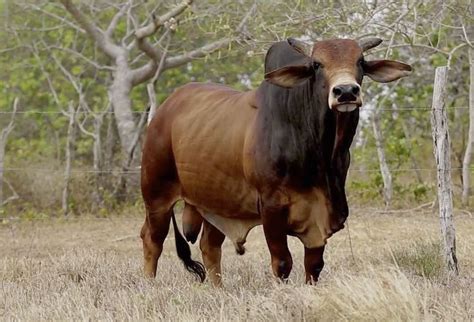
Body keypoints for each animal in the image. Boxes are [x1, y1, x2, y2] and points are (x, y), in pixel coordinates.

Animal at [141, 36, 412, 286]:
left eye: (360, 61)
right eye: (316, 64)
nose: (346, 91)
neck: (319, 154)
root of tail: (165, 109)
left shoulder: (321, 215)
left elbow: (314, 264)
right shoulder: (271, 207)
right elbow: (282, 262)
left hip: (215, 203)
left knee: (210, 246)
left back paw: (217, 289)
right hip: (156, 195)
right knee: (152, 239)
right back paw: (150, 284)